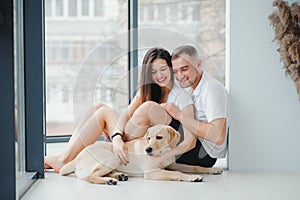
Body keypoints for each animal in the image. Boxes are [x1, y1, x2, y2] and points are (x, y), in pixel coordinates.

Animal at [59, 124, 223, 185]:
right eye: (148, 138)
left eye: (159, 137)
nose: (147, 150)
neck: (164, 152)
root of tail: (76, 158)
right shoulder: (152, 172)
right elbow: (176, 173)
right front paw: (192, 178)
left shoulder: (173, 164)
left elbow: (194, 166)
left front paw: (212, 169)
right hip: (112, 157)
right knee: (90, 176)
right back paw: (109, 180)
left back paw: (118, 176)